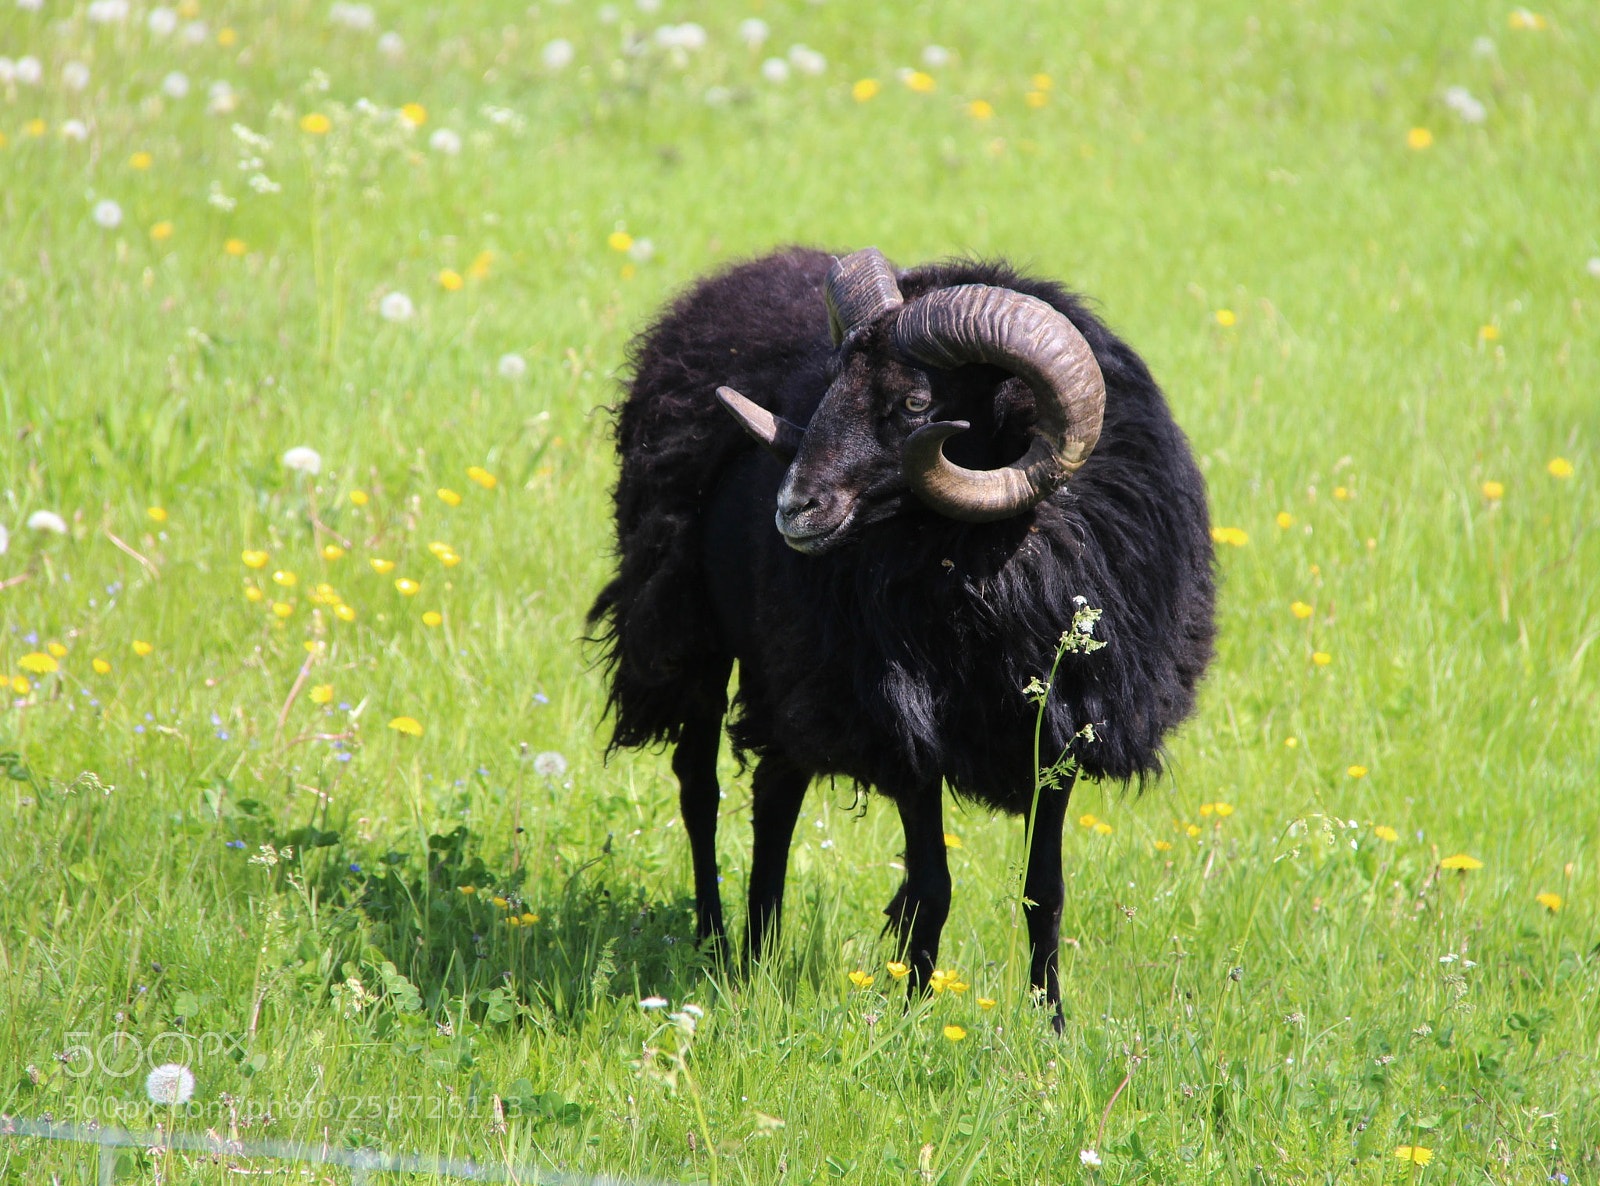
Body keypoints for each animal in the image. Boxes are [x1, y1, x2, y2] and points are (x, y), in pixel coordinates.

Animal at [589, 247, 1215, 1025]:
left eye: (917, 404)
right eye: (829, 384)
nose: (793, 507)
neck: (980, 555)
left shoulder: (1061, 731)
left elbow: (1044, 890)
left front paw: (1051, 1023)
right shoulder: (903, 726)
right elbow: (931, 885)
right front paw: (915, 1013)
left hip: (789, 659)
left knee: (776, 791)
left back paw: (759, 953)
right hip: (688, 631)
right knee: (699, 787)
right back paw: (716, 942)